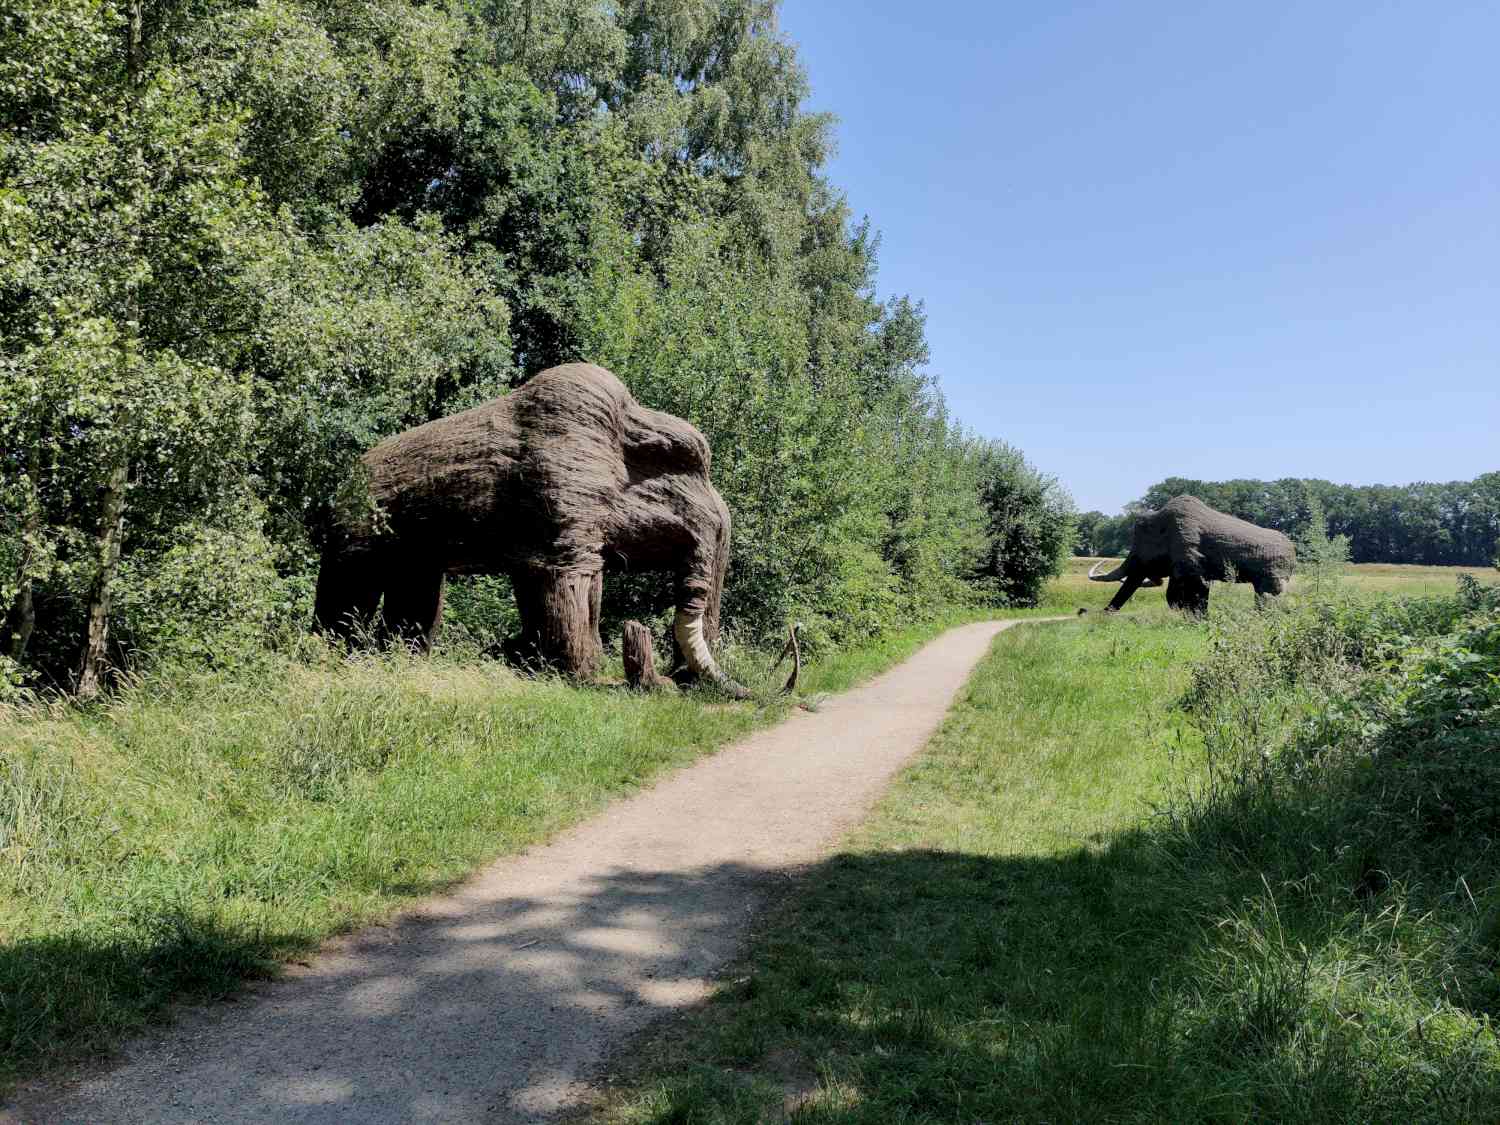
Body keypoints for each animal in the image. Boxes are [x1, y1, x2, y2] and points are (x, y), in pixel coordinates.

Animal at [313, 362, 747, 695]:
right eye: (689, 465)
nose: (679, 682)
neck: (615, 451)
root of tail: (344, 484)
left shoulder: (577, 541)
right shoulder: (562, 521)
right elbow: (564, 602)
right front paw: (580, 677)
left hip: (415, 564)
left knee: (412, 609)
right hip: (352, 549)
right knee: (345, 606)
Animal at [1087, 495, 1295, 615]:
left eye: (1138, 551)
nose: (1106, 612)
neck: (1164, 526)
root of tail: (1292, 551)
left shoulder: (1191, 562)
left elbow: (1190, 596)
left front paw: (1200, 619)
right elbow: (1175, 597)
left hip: (1274, 579)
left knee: (1270, 598)